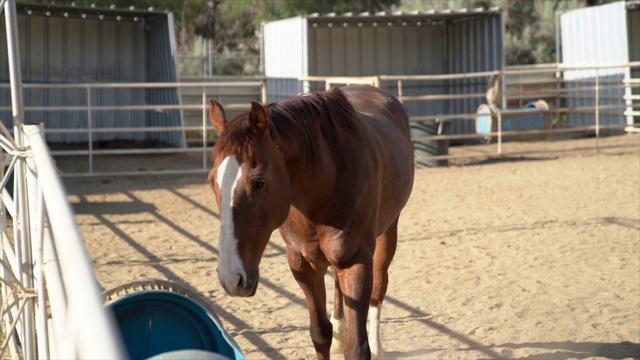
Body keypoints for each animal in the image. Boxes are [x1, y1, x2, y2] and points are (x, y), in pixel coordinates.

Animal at [208, 85, 412, 360]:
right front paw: (333, 335)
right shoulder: (303, 265)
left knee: (379, 287)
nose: (231, 277)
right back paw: (340, 331)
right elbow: (320, 333)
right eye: (212, 182)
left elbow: (358, 347)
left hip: (388, 231)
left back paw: (378, 345)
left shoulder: (356, 262)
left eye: (259, 182)